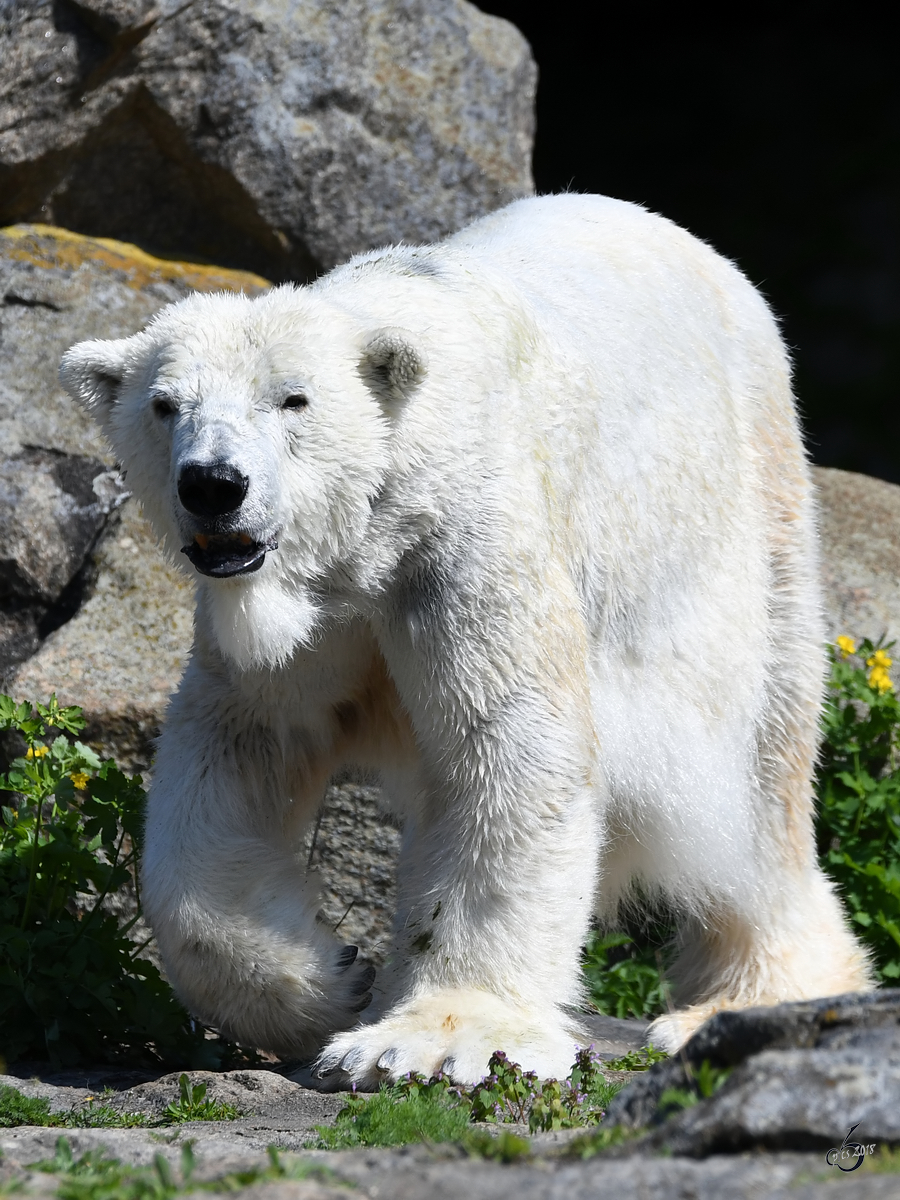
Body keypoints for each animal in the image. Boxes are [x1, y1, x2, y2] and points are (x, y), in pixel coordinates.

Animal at [61, 194, 873, 1089]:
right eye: (164, 405)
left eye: (293, 400)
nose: (213, 485)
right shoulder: (309, 606)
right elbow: (242, 741)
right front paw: (324, 982)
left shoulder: (460, 540)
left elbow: (509, 738)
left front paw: (435, 1038)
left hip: (747, 510)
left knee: (762, 770)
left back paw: (755, 995)